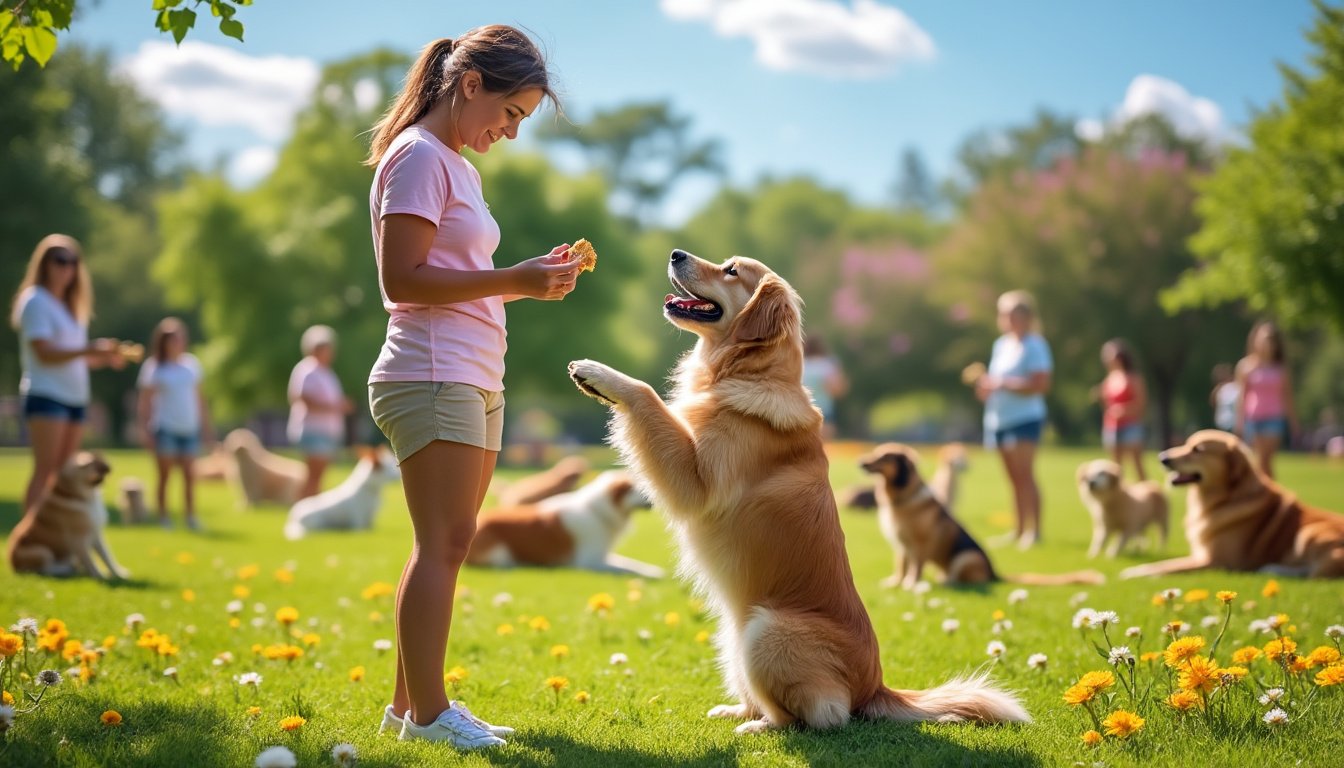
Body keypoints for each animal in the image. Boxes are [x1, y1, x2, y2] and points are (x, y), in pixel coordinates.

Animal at [8, 451, 131, 583]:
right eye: (88, 463)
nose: (108, 467)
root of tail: (12, 564)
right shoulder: (79, 540)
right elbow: (90, 562)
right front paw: (99, 576)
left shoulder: (96, 534)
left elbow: (107, 557)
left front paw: (119, 573)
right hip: (41, 552)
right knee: (44, 570)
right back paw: (67, 570)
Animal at [467, 470, 666, 581]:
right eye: (640, 488)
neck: (596, 511)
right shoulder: (590, 561)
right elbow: (625, 568)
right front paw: (652, 575)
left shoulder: (602, 555)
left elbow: (633, 563)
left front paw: (653, 571)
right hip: (500, 555)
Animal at [569, 251, 1026, 731]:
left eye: (731, 270)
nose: (675, 254)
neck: (747, 371)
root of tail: (874, 688)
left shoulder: (698, 482)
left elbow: (647, 397)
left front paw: (599, 374)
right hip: (735, 635)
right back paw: (736, 709)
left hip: (766, 630)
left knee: (813, 716)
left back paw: (757, 725)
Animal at [1123, 430, 1344, 581]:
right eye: (1186, 444)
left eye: (1198, 450)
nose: (1163, 458)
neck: (1224, 499)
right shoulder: (1200, 555)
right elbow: (1163, 563)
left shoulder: (1215, 561)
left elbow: (1167, 567)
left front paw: (1133, 574)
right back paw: (1271, 569)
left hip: (1308, 533)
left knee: (1317, 574)